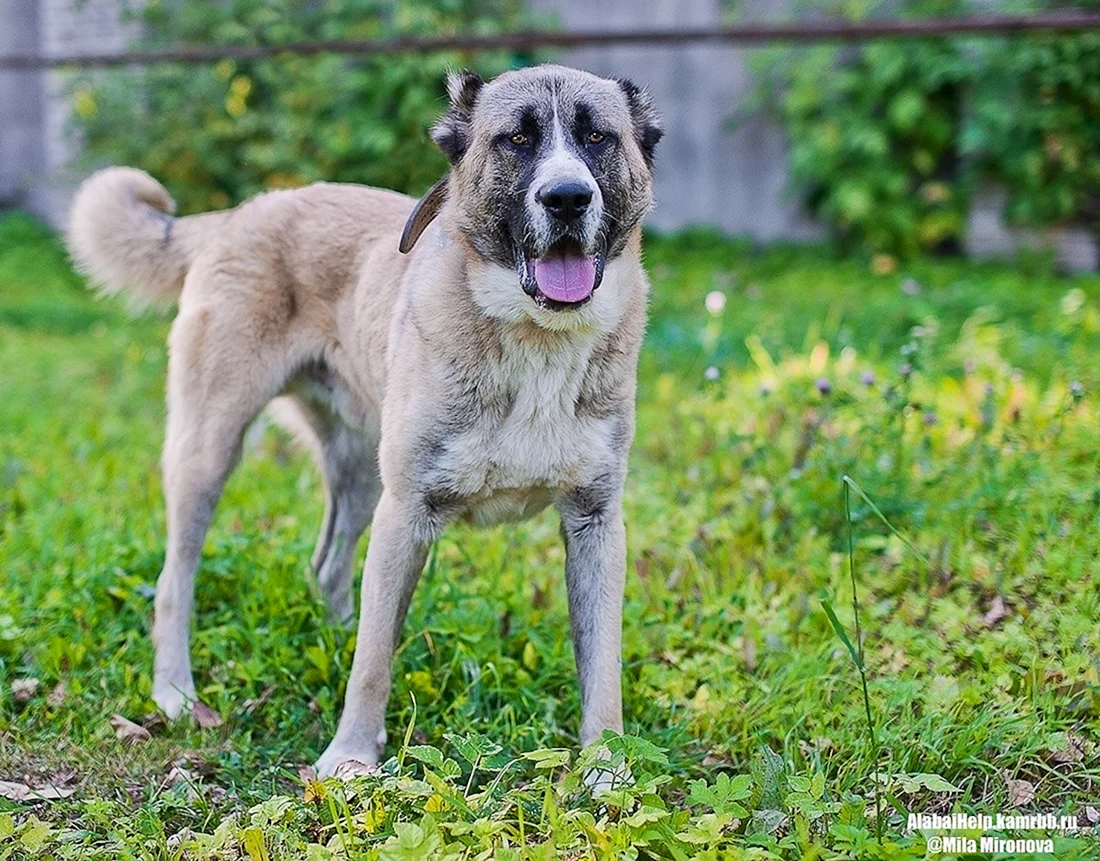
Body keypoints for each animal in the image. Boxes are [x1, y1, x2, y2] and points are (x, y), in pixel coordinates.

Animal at [70, 62, 668, 774]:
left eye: (598, 137)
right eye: (517, 140)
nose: (569, 198)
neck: (536, 337)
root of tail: (240, 214)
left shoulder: (595, 522)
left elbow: (602, 669)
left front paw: (608, 773)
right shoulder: (406, 513)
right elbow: (375, 661)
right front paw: (351, 758)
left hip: (358, 476)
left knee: (328, 569)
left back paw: (331, 640)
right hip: (210, 453)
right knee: (175, 580)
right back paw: (176, 693)